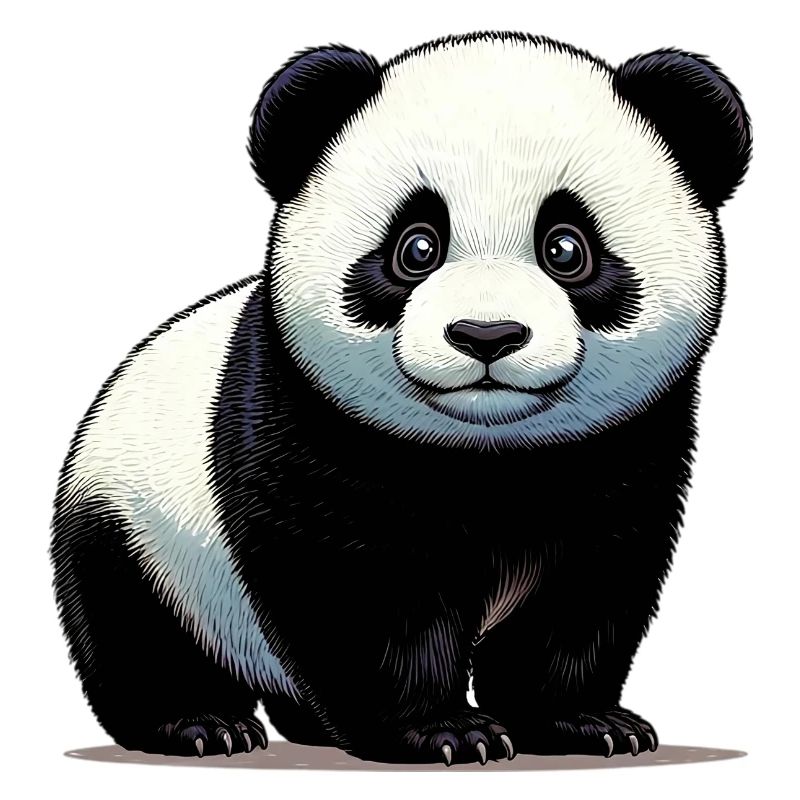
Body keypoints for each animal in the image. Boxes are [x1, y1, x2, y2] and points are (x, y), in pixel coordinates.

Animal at [51, 32, 751, 766]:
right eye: (417, 247)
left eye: (566, 248)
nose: (487, 334)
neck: (492, 451)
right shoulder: (311, 428)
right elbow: (363, 593)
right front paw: (447, 731)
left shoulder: (624, 446)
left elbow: (586, 586)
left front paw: (584, 720)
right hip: (139, 526)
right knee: (137, 627)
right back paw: (199, 722)